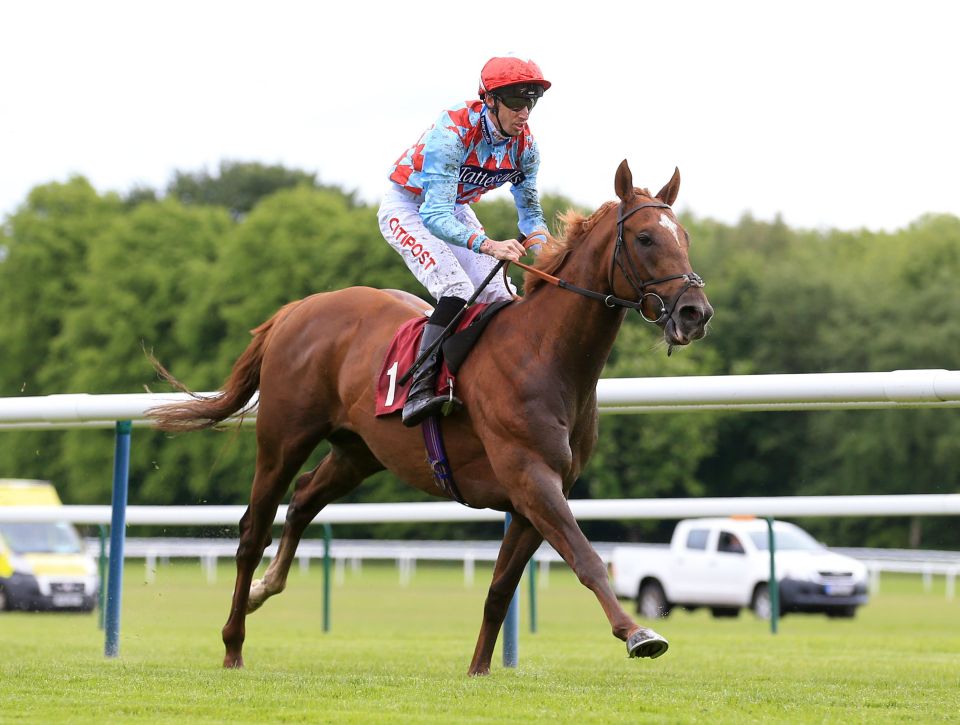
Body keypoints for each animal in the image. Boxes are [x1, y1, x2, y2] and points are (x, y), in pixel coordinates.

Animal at [148, 158, 712, 672]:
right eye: (645, 237)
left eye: (683, 235)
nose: (695, 313)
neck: (545, 354)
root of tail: (298, 309)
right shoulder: (531, 476)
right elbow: (587, 557)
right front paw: (638, 633)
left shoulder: (540, 491)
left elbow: (500, 588)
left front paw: (479, 669)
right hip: (283, 438)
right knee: (252, 532)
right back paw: (233, 642)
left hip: (360, 451)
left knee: (305, 497)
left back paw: (267, 587)